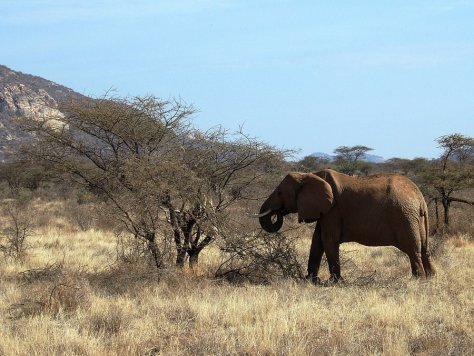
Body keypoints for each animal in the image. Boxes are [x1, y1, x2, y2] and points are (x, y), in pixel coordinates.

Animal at [258, 168, 436, 282]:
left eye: (280, 193)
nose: (277, 213)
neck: (309, 175)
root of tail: (420, 197)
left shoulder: (333, 210)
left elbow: (328, 239)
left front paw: (335, 282)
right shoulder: (325, 211)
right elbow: (317, 240)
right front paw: (310, 280)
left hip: (404, 216)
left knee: (413, 249)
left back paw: (417, 279)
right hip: (416, 219)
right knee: (424, 248)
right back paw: (431, 276)